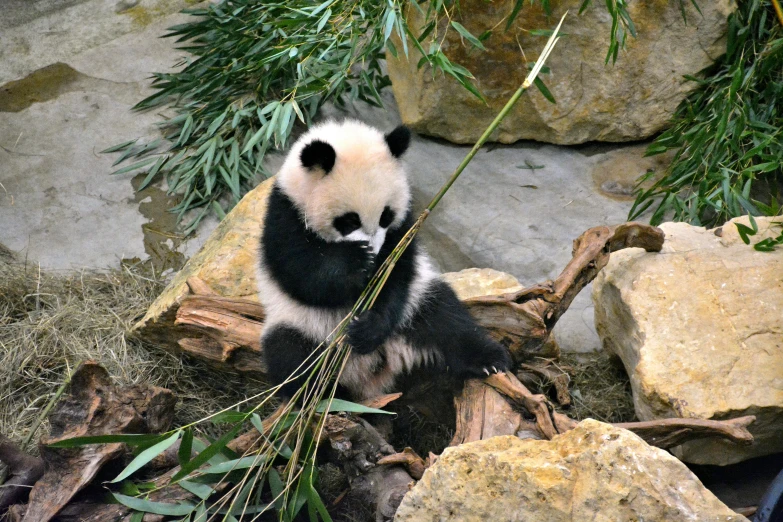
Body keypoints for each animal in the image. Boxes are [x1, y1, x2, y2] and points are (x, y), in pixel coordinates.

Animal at [258, 119, 516, 398]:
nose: (375, 250)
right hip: (303, 326)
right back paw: (330, 398)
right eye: (350, 221)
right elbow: (303, 276)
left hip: (414, 308)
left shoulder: (404, 229)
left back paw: (489, 359)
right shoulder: (284, 217)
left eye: (386, 215)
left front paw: (368, 326)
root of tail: (375, 372)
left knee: (449, 321)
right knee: (293, 359)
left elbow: (397, 273)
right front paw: (355, 259)